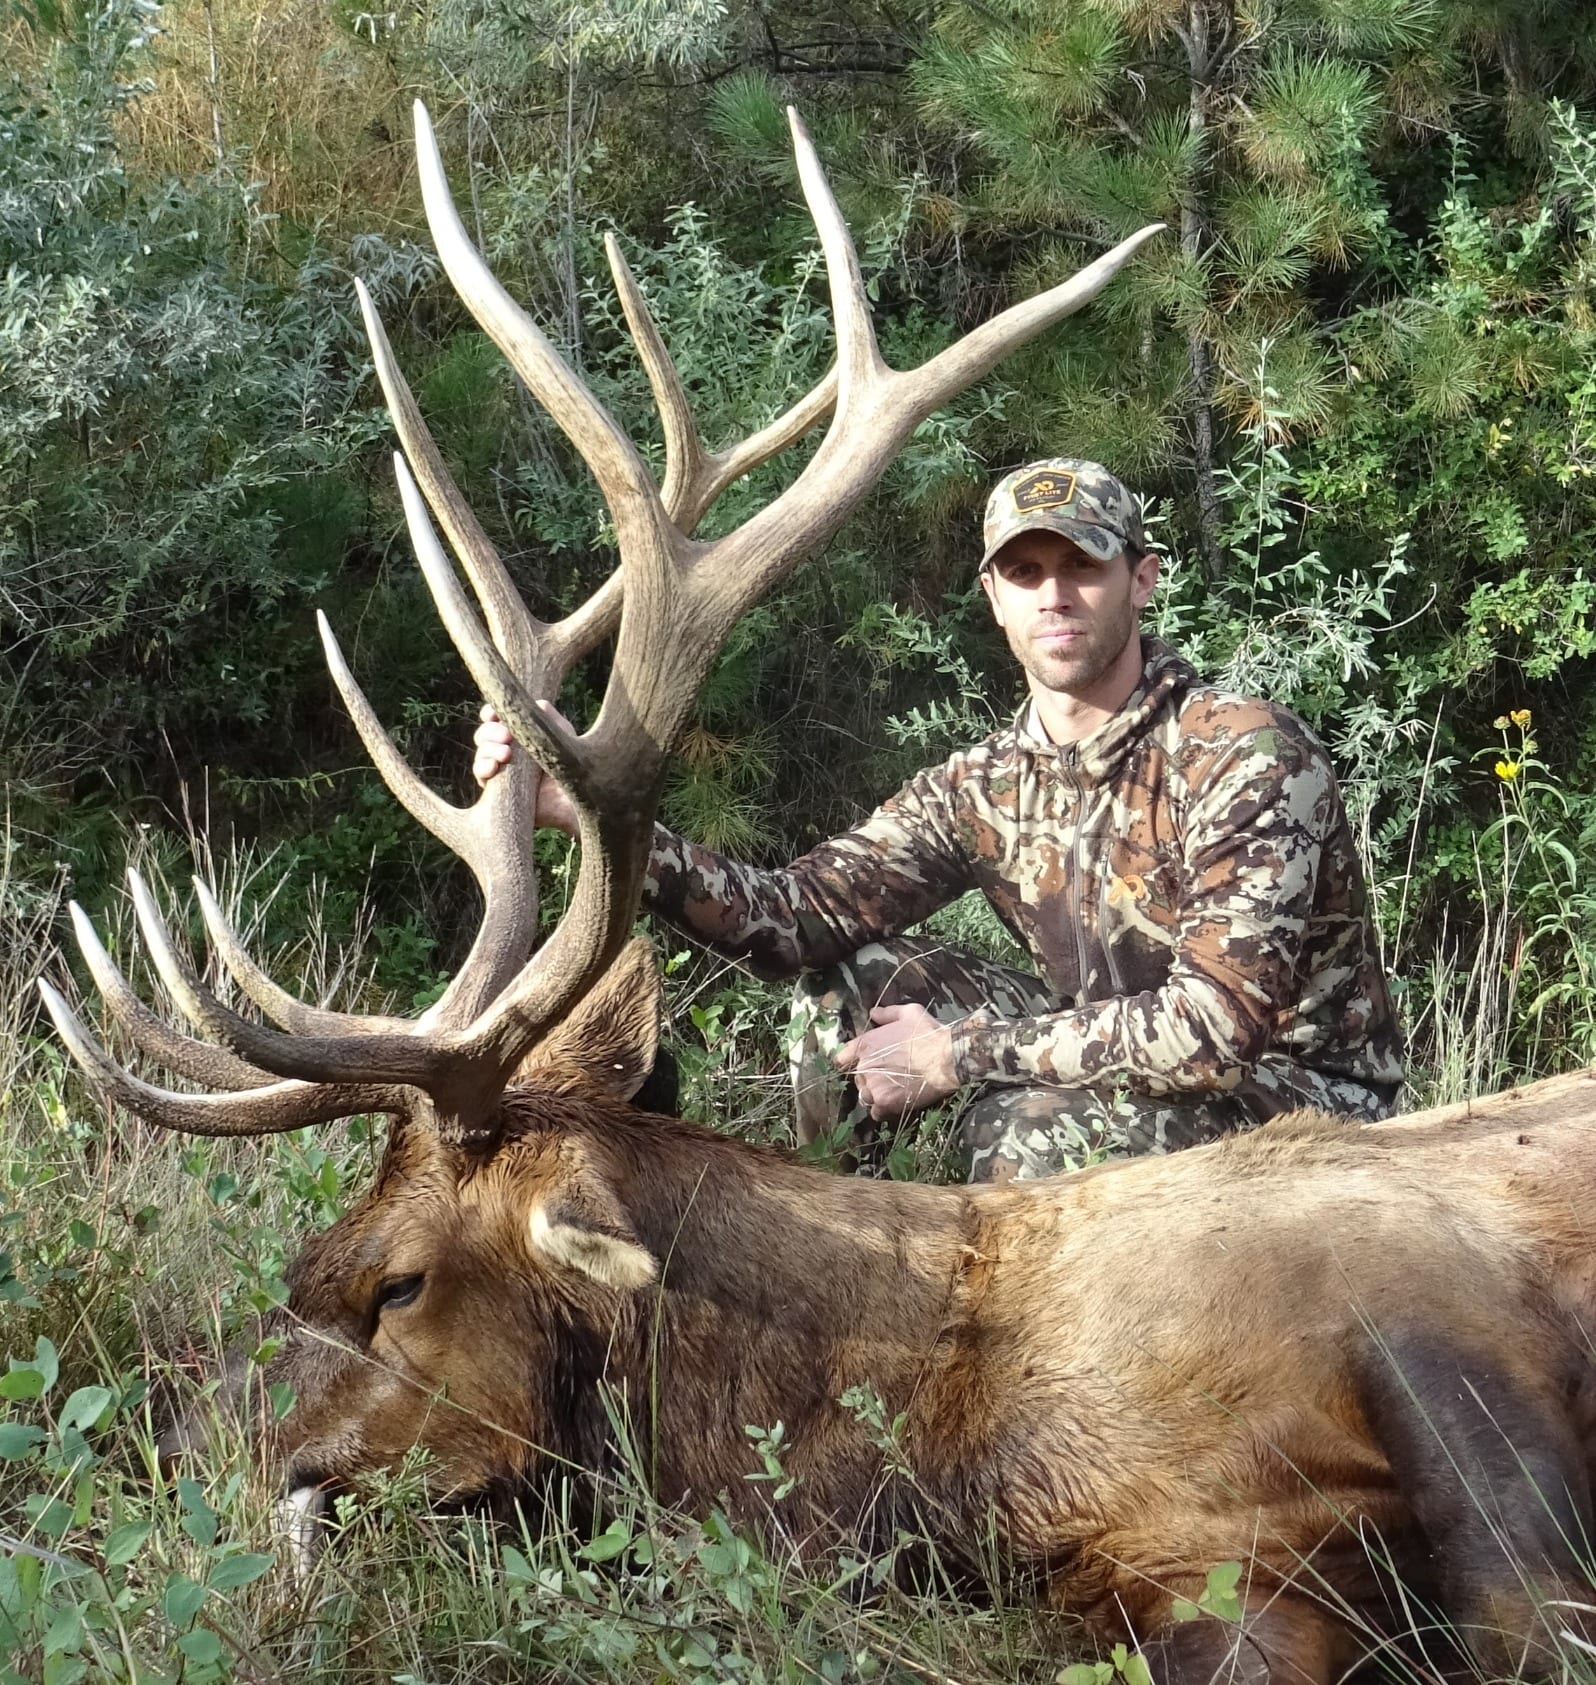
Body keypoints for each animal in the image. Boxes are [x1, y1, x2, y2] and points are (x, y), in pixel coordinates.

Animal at [37, 102, 1596, 1685]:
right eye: (303, 1259)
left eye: (395, 1283)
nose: (174, 1443)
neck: (947, 1440)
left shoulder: (1416, 1359)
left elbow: (1516, 1598)